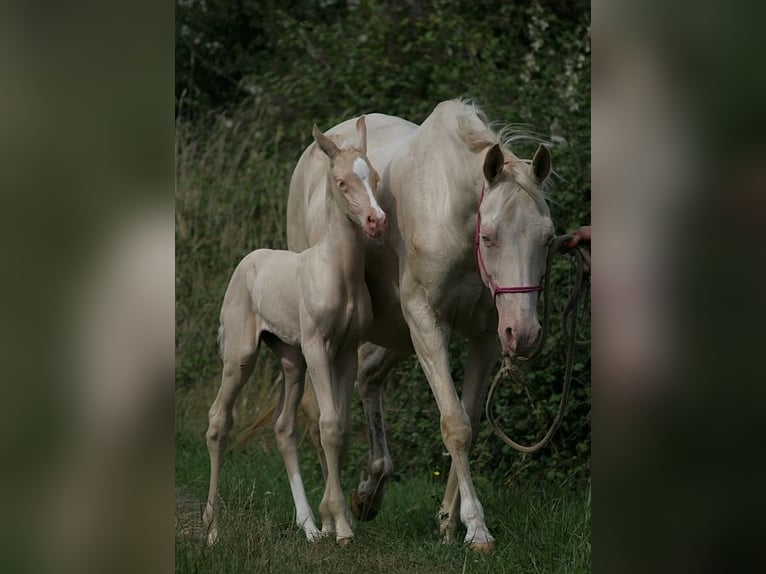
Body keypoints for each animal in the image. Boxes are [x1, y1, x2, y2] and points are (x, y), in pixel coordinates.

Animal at [204, 116, 388, 544]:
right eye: (341, 182)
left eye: (373, 176)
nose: (377, 221)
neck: (339, 273)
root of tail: (248, 261)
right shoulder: (318, 345)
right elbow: (329, 424)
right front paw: (342, 527)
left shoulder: (345, 351)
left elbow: (341, 427)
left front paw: (333, 521)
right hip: (241, 355)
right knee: (218, 420)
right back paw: (212, 529)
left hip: (291, 358)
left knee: (284, 427)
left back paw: (308, 527)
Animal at [288, 100, 552, 552]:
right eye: (488, 235)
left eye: (549, 238)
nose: (525, 334)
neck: (451, 214)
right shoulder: (427, 323)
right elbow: (454, 425)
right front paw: (475, 526)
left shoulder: (486, 337)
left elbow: (470, 424)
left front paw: (448, 522)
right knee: (319, 410)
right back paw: (330, 519)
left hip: (395, 333)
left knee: (368, 378)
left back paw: (368, 493)